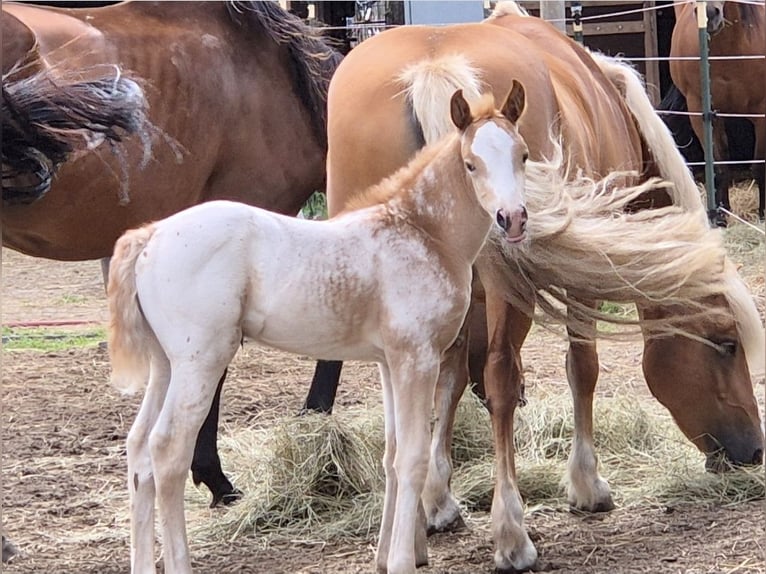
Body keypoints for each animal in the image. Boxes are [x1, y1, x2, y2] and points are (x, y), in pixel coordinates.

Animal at [107, 88, 533, 574]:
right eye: (471, 163)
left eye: (522, 154)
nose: (512, 219)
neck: (423, 232)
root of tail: (151, 235)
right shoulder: (417, 359)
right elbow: (412, 458)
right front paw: (404, 559)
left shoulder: (390, 362)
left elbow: (390, 454)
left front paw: (383, 558)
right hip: (200, 363)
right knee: (167, 451)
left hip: (165, 365)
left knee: (139, 450)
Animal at [669, 0, 765, 221]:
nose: (710, 13)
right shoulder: (702, 113)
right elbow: (720, 166)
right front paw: (720, 215)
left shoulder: (762, 113)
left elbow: (759, 166)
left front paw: (763, 214)